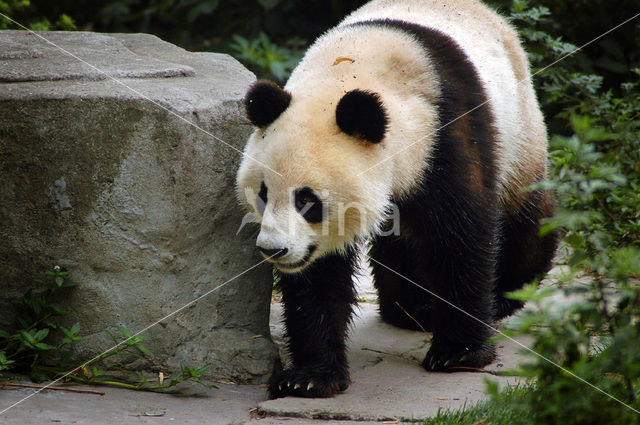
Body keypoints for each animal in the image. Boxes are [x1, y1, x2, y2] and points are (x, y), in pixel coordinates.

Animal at [238, 0, 556, 398]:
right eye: (263, 194)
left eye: (307, 201)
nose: (274, 250)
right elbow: (318, 276)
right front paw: (310, 376)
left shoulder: (445, 133)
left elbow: (461, 235)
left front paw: (458, 353)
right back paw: (412, 308)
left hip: (520, 134)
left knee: (525, 216)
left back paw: (505, 295)